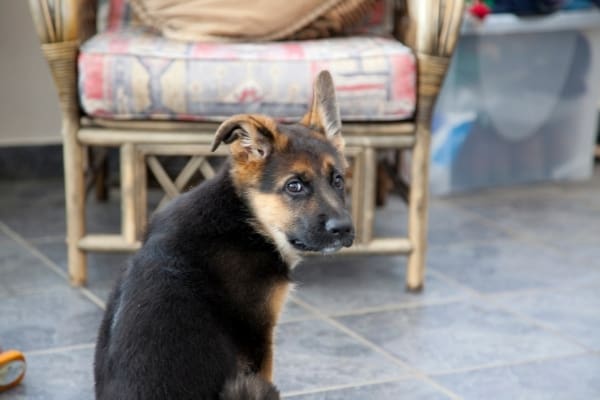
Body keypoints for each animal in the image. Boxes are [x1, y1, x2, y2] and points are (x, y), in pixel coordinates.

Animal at [94, 70, 354, 398]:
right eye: (294, 186)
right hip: (253, 386)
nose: (344, 229)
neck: (244, 218)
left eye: (338, 181)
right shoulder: (258, 340)